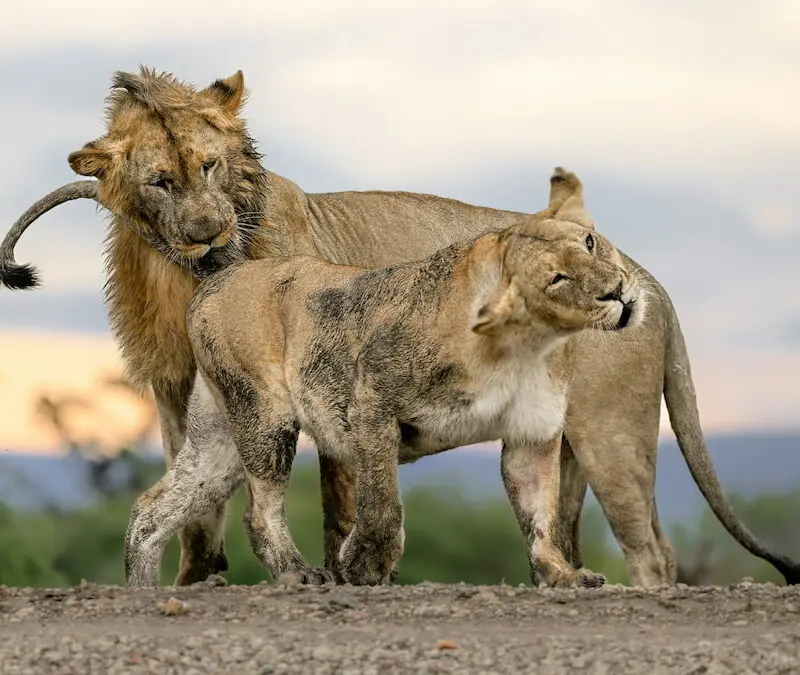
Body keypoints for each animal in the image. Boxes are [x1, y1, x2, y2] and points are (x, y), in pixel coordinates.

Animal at [126, 168, 638, 589]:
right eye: (557, 279)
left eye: (590, 243)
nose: (617, 291)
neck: (526, 345)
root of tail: (223, 275)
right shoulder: (370, 406)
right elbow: (382, 504)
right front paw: (363, 566)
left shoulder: (532, 434)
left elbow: (540, 515)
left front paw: (562, 574)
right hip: (263, 418)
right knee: (259, 509)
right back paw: (298, 572)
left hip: (218, 439)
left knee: (152, 508)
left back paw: (141, 587)